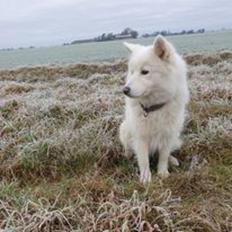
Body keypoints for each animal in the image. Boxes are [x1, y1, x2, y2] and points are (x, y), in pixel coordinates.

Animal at [119, 35, 188, 184]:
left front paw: (163, 172)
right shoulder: (141, 137)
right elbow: (144, 160)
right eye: (131, 71)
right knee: (127, 147)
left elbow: (163, 156)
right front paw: (145, 178)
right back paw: (127, 155)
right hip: (124, 129)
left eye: (145, 72)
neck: (153, 108)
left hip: (175, 137)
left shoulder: (168, 134)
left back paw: (173, 160)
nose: (125, 90)